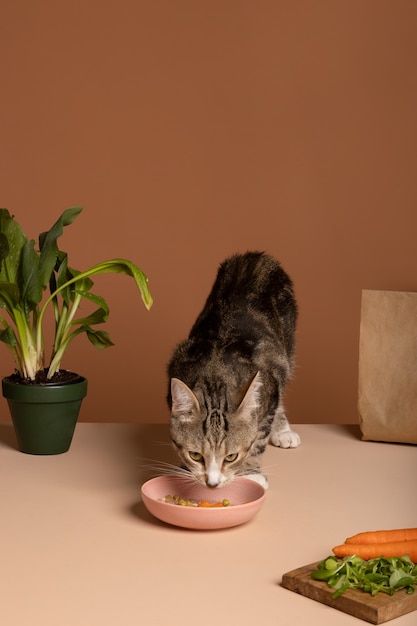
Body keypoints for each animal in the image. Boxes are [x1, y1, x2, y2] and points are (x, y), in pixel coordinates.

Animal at [166, 249, 300, 488]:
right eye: (196, 455)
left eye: (231, 456)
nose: (212, 483)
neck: (215, 374)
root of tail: (255, 255)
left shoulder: (269, 384)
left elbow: (258, 437)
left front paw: (251, 472)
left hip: (286, 351)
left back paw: (284, 431)